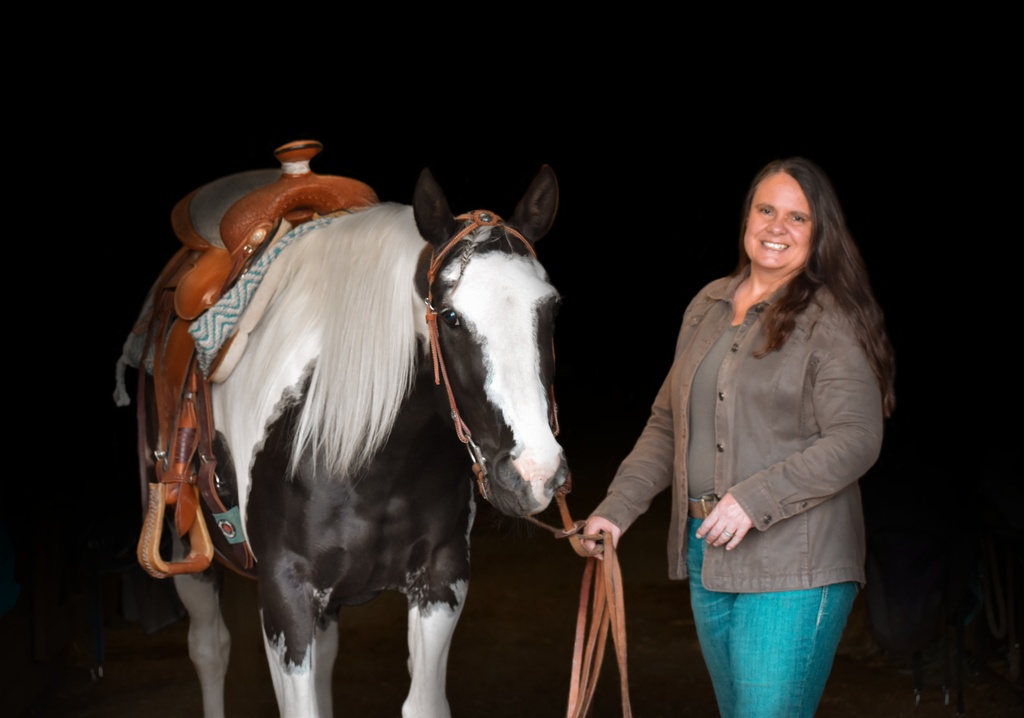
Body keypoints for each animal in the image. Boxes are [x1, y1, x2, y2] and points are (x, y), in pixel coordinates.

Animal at [113, 145, 568, 717]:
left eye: (551, 308)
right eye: (450, 317)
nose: (535, 473)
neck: (371, 460)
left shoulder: (442, 577)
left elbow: (423, 703)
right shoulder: (286, 595)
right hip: (186, 550)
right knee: (209, 649)